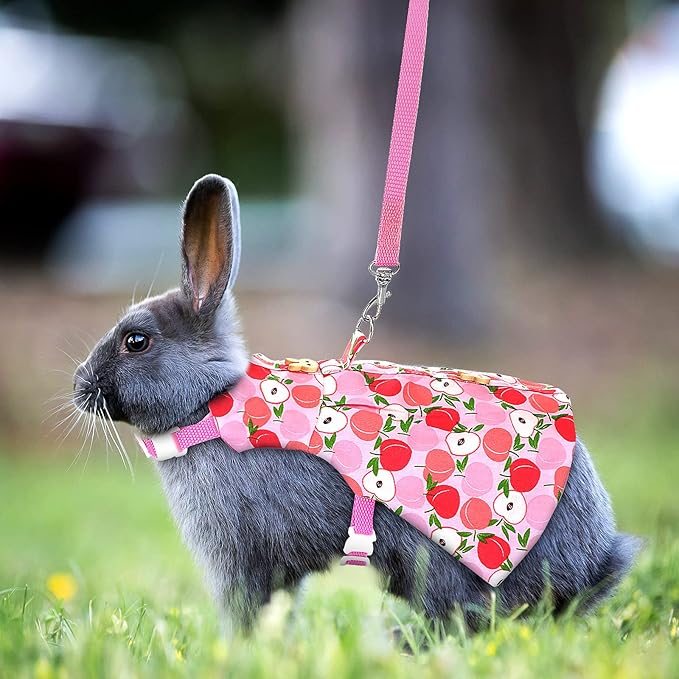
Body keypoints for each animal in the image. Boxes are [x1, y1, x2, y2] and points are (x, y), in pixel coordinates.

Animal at [73, 174, 639, 631]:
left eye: (136, 341)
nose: (80, 384)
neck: (209, 404)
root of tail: (588, 568)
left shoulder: (242, 554)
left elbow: (250, 605)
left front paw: (243, 646)